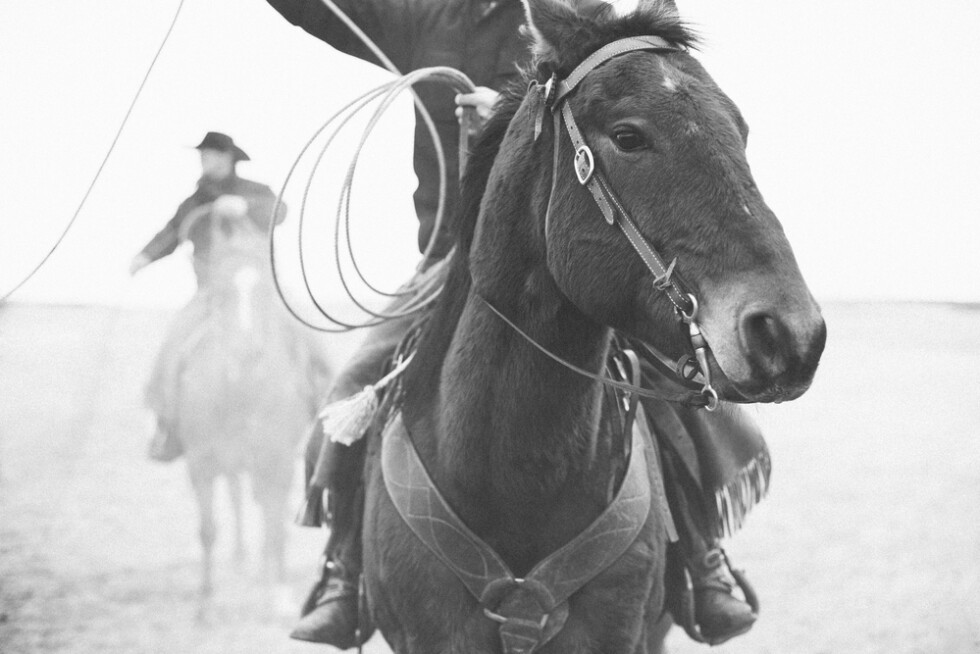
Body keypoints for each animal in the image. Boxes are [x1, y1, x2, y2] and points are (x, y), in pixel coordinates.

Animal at [171, 205, 330, 597]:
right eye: (221, 292)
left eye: (266, 294)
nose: (246, 352)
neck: (240, 391)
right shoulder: (202, 462)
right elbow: (209, 530)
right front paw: (206, 602)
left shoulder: (276, 460)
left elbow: (275, 528)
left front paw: (277, 589)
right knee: (239, 500)